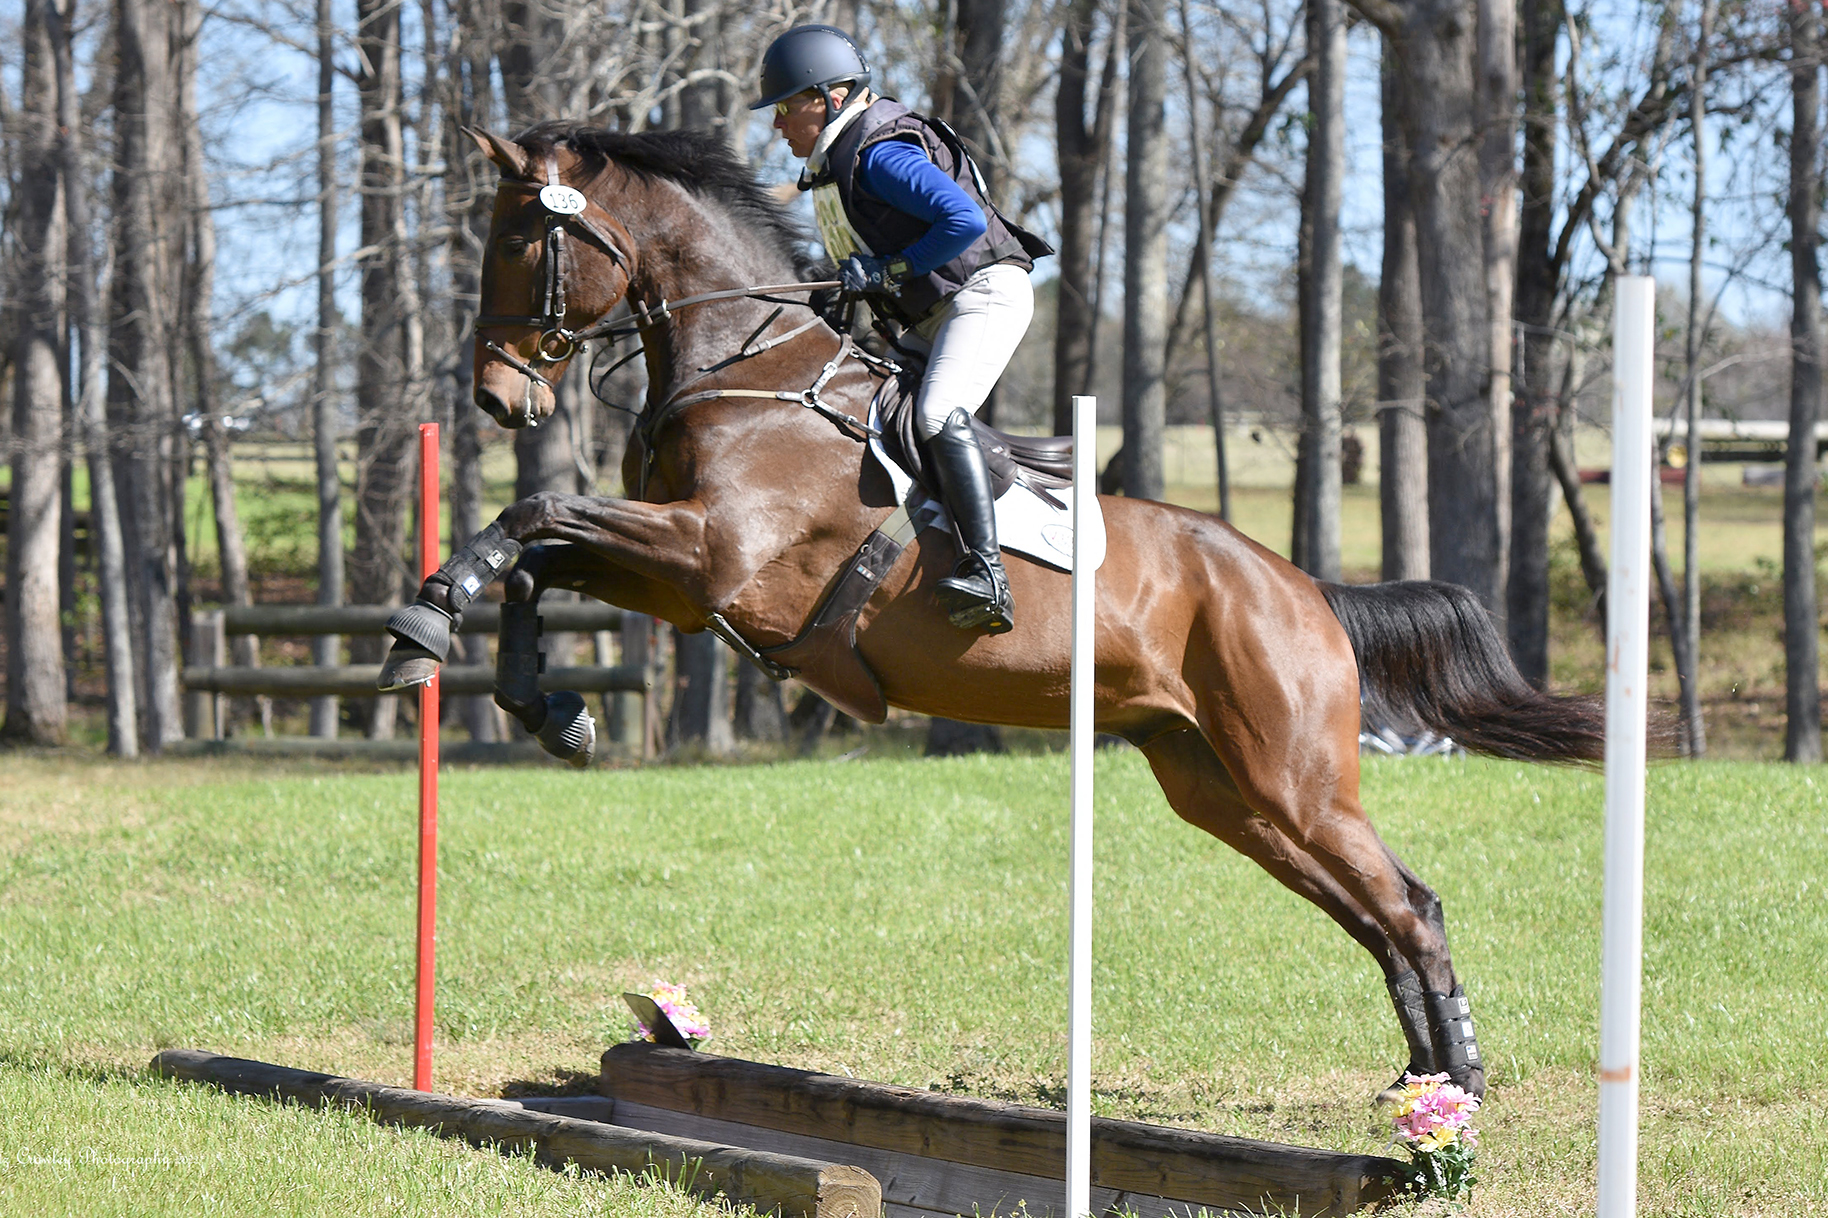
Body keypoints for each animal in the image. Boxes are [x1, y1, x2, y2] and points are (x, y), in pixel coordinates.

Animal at [378, 123, 1608, 1097]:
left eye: (517, 241)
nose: (497, 394)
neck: (748, 371)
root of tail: (1304, 588)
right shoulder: (683, 585)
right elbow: (540, 559)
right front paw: (544, 708)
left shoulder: (713, 557)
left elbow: (537, 511)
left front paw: (422, 624)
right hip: (1223, 787)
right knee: (1366, 909)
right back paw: (1421, 1077)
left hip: (1294, 777)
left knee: (1410, 903)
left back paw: (1457, 1092)